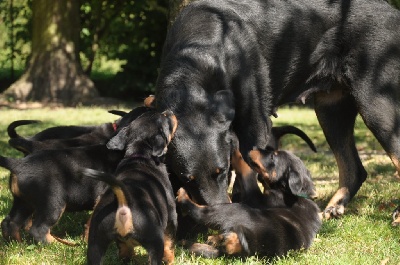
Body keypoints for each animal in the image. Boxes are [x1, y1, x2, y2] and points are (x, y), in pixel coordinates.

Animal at [83, 109, 178, 264]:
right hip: (155, 242)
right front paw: (170, 259)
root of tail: (124, 203)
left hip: (95, 243)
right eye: (165, 118)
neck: (139, 154)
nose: (169, 111)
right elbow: (169, 241)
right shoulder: (171, 215)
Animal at [155, 0, 400, 217]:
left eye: (222, 171)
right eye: (187, 179)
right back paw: (333, 208)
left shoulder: (255, 126)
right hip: (331, 110)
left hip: (377, 104)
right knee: (354, 169)